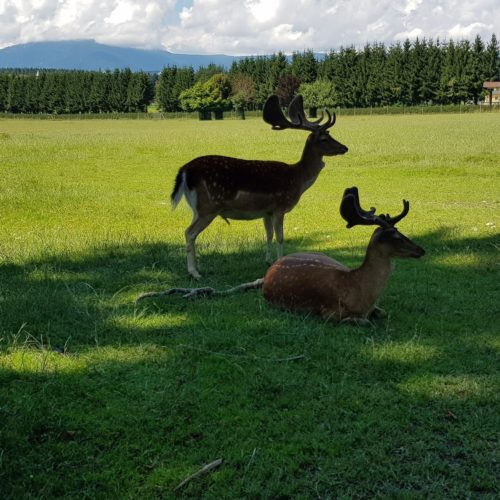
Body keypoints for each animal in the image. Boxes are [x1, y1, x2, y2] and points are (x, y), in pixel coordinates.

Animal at [138, 188, 426, 324]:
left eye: (401, 231)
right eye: (395, 236)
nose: (421, 250)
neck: (358, 292)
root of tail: (268, 272)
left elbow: (381, 313)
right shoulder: (328, 313)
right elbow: (361, 322)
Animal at [171, 94, 348, 278]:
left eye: (330, 134)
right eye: (324, 139)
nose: (344, 148)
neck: (298, 178)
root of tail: (184, 171)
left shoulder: (266, 211)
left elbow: (268, 235)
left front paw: (268, 261)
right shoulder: (279, 206)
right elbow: (280, 237)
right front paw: (279, 262)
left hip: (197, 209)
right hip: (208, 207)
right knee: (189, 233)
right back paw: (194, 272)